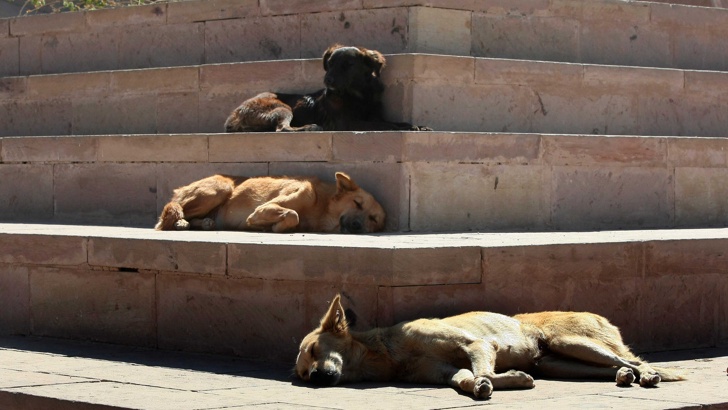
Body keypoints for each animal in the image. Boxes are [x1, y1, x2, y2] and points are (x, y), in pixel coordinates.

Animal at [155, 171, 386, 234]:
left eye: (374, 219)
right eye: (357, 203)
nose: (356, 226)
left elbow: (293, 216)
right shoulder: (262, 208)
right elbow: (292, 214)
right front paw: (271, 226)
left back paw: (203, 223)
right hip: (221, 187)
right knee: (171, 214)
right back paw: (180, 222)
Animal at [225, 44, 430, 132]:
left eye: (348, 65)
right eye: (330, 64)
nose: (328, 80)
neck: (358, 96)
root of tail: (234, 114)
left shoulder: (375, 115)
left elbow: (396, 122)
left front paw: (416, 125)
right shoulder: (347, 123)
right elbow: (384, 125)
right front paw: (407, 128)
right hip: (282, 107)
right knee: (282, 128)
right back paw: (309, 127)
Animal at [294, 294, 684, 400]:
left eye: (313, 352)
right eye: (302, 374)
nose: (315, 378)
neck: (388, 352)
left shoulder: (475, 343)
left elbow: (485, 371)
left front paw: (503, 380)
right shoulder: (446, 372)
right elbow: (465, 379)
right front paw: (495, 382)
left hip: (568, 341)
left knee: (635, 361)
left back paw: (647, 375)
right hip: (559, 363)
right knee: (616, 367)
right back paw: (623, 377)